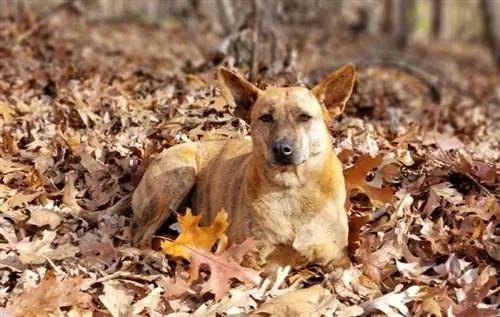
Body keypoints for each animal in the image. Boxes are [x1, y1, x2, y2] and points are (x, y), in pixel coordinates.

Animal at [132, 64, 356, 270]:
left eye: (304, 117)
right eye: (266, 117)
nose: (282, 149)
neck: (292, 190)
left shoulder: (337, 257)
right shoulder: (251, 258)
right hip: (180, 176)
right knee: (140, 236)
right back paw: (155, 257)